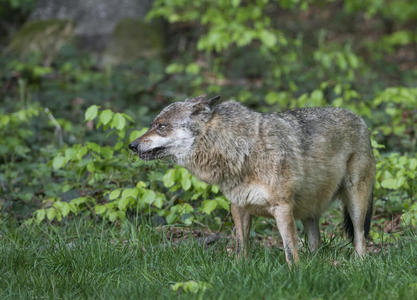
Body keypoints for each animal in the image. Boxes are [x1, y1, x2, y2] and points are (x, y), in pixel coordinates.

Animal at [128, 95, 376, 266]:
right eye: (153, 124)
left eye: (161, 126)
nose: (131, 145)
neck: (241, 150)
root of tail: (360, 119)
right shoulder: (238, 207)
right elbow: (241, 246)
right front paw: (239, 269)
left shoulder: (282, 208)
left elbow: (289, 249)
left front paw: (295, 273)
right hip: (310, 212)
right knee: (317, 244)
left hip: (355, 203)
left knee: (360, 237)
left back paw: (359, 264)